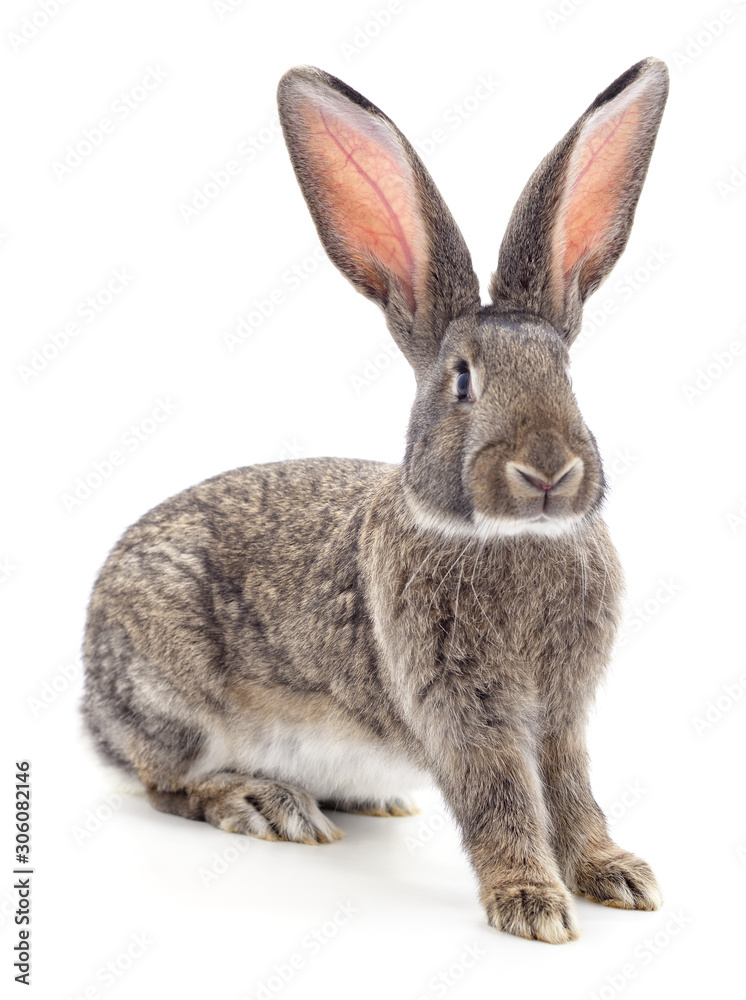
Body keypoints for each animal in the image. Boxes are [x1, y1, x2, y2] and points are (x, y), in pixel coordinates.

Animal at [82, 57, 669, 944]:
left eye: (567, 376)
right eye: (462, 381)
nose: (548, 472)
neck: (504, 537)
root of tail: (92, 699)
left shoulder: (562, 715)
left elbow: (571, 792)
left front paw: (617, 876)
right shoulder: (460, 708)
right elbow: (501, 798)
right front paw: (531, 903)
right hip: (174, 699)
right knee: (168, 785)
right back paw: (265, 803)